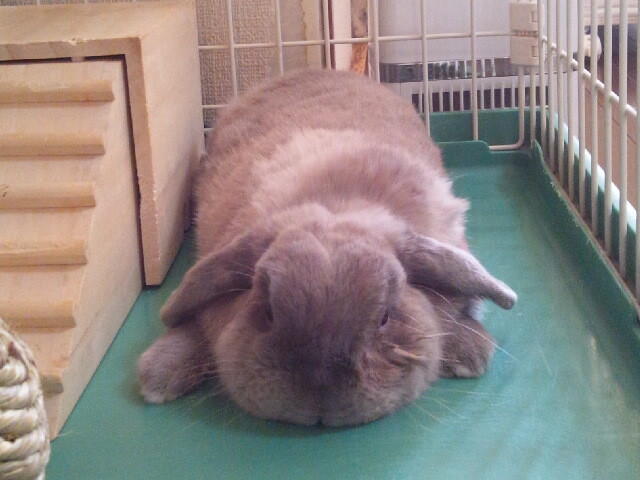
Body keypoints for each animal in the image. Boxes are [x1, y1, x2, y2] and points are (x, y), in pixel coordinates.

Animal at [138, 69, 517, 426]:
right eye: (268, 311)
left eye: (385, 317)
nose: (319, 387)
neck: (338, 206)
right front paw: (157, 374)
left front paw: (470, 350)